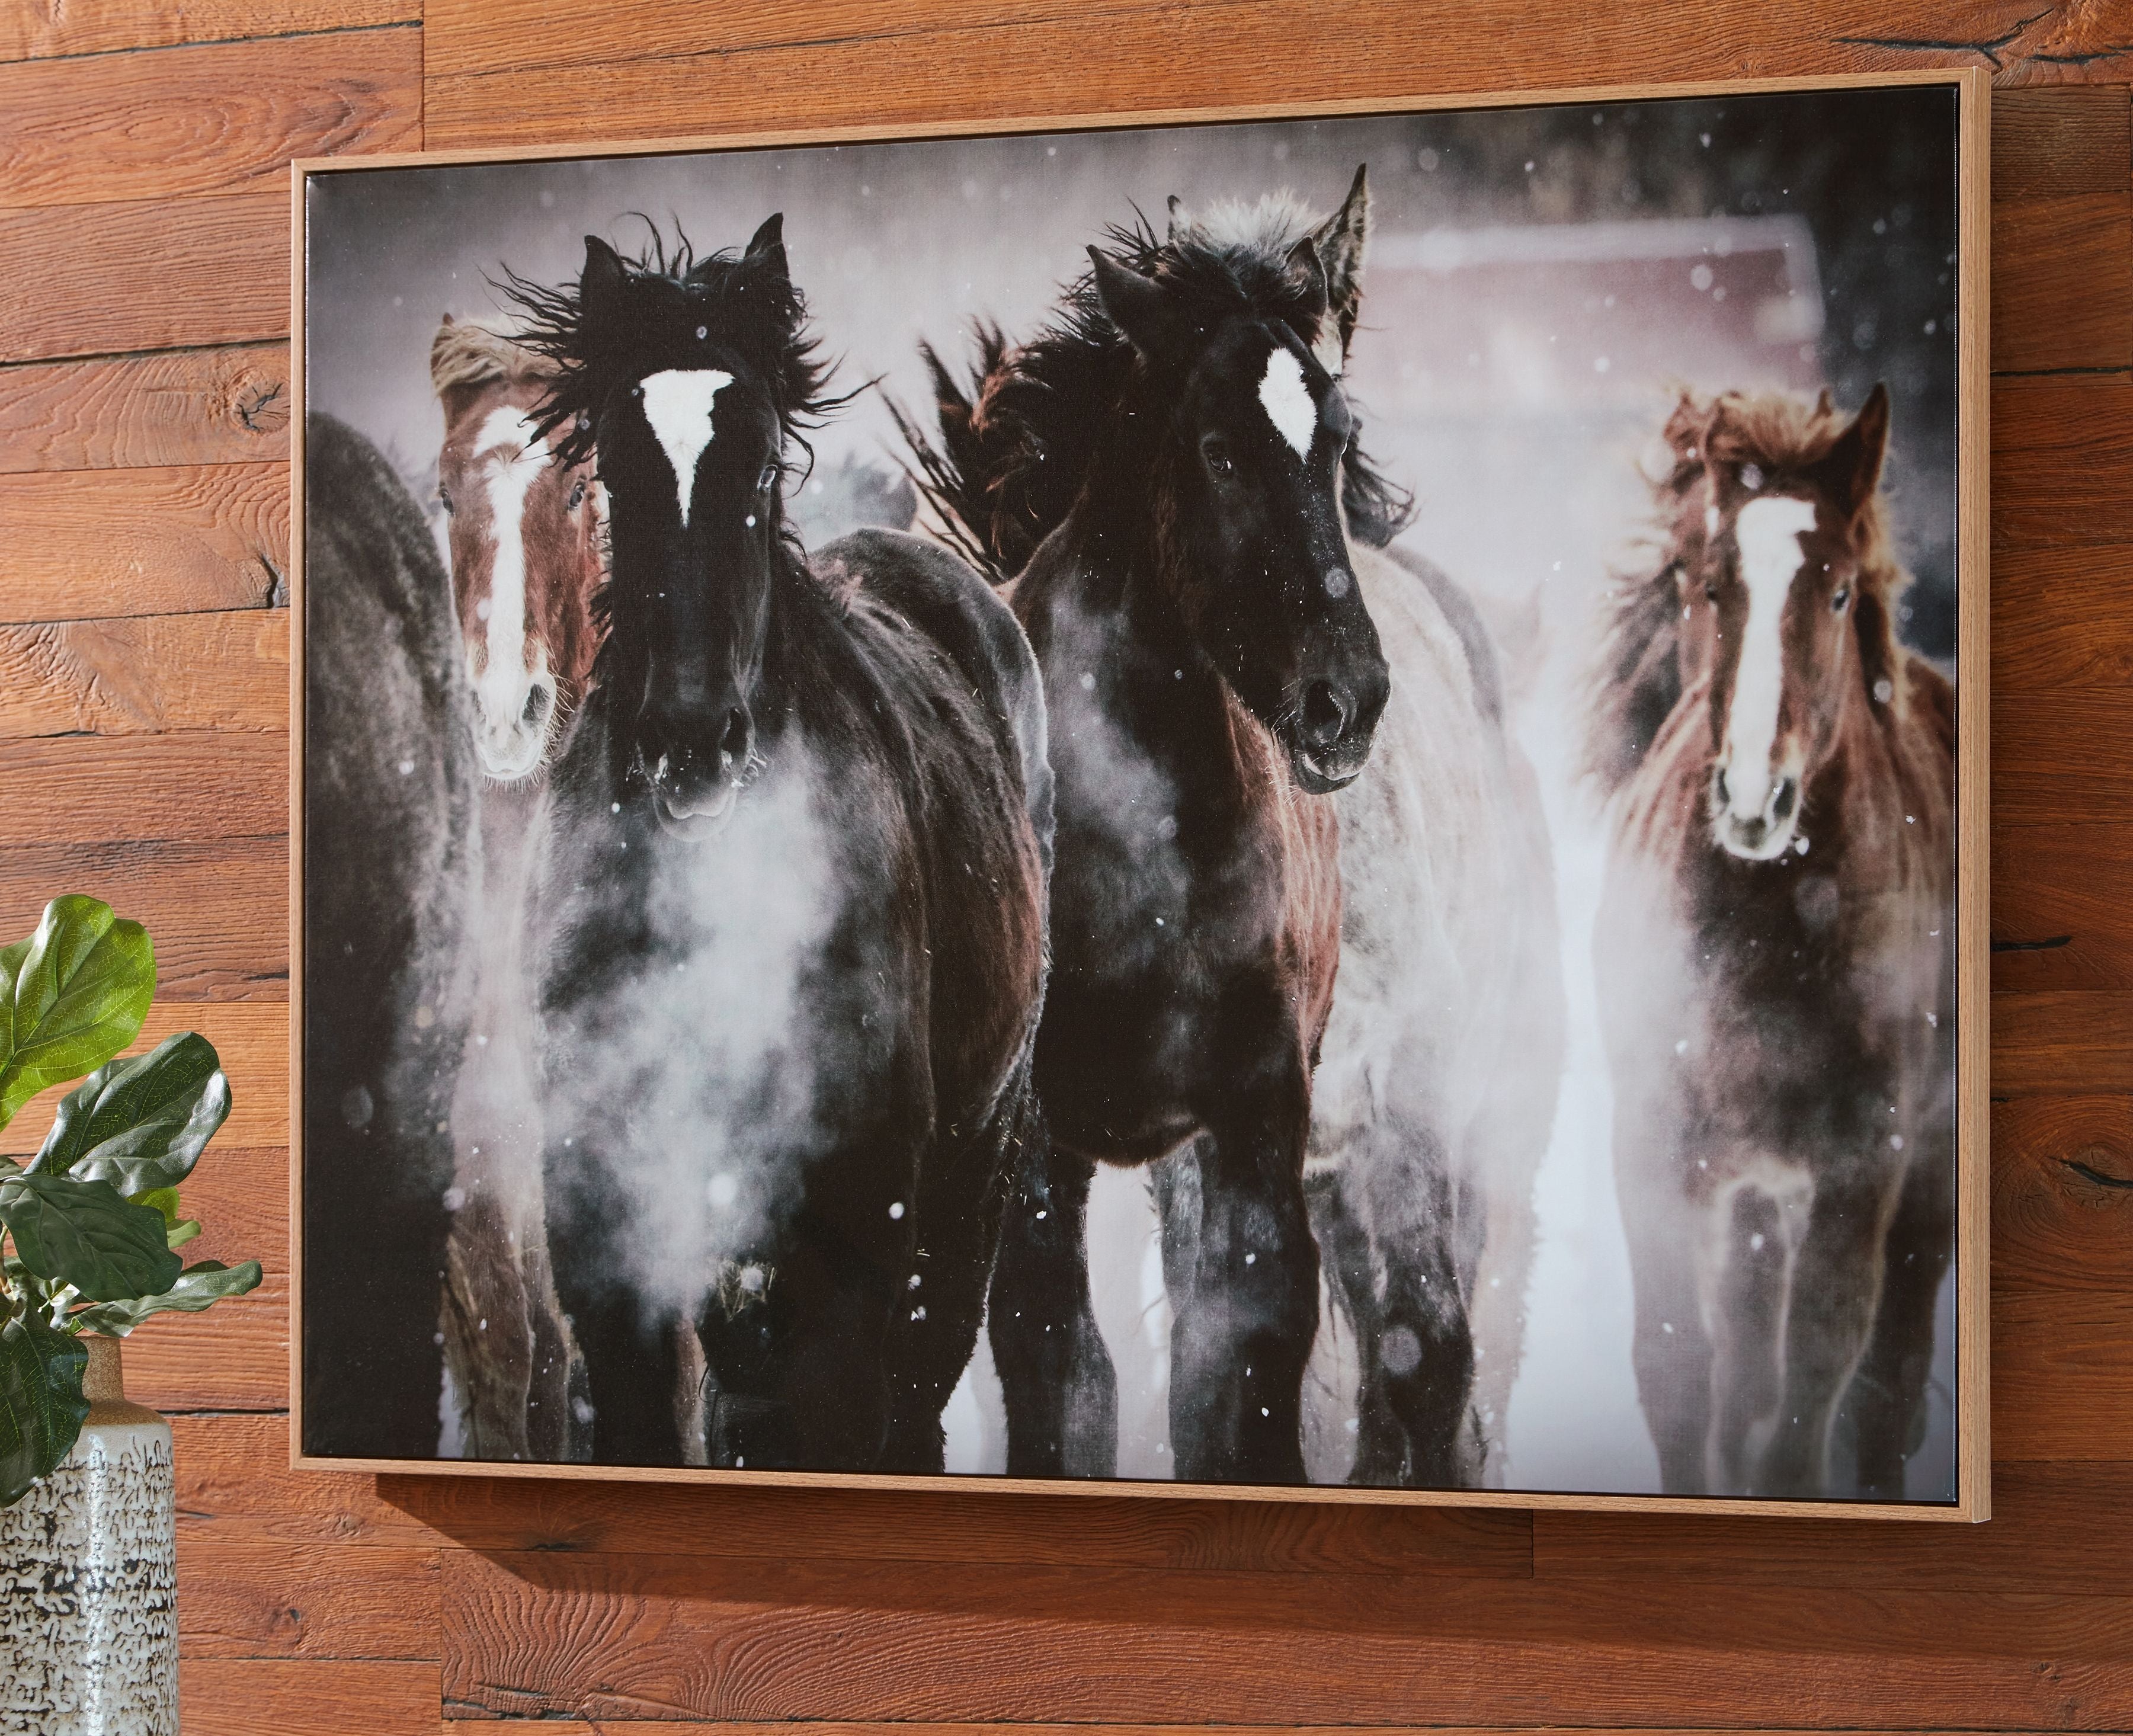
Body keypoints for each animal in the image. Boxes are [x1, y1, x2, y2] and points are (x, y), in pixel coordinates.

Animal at [503, 217, 1053, 1471]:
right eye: (614, 471)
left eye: (756, 468)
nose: (690, 739)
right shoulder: (610, 1246)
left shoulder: (848, 1242)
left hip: (975, 1171)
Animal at [903, 172, 1564, 1487]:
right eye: (1213, 448)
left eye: (1338, 438)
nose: (1342, 697)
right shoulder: (1049, 1145)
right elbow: (1075, 1376)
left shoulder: (1291, 1116)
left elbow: (1285, 1373)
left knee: (1428, 1359)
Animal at [1585, 384, 1956, 1499]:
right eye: (1711, 584)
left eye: (1835, 595)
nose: (1755, 798)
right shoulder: (1657, 1152)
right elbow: (1682, 1375)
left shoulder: (1862, 1171)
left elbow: (1816, 1390)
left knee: (1884, 1386)